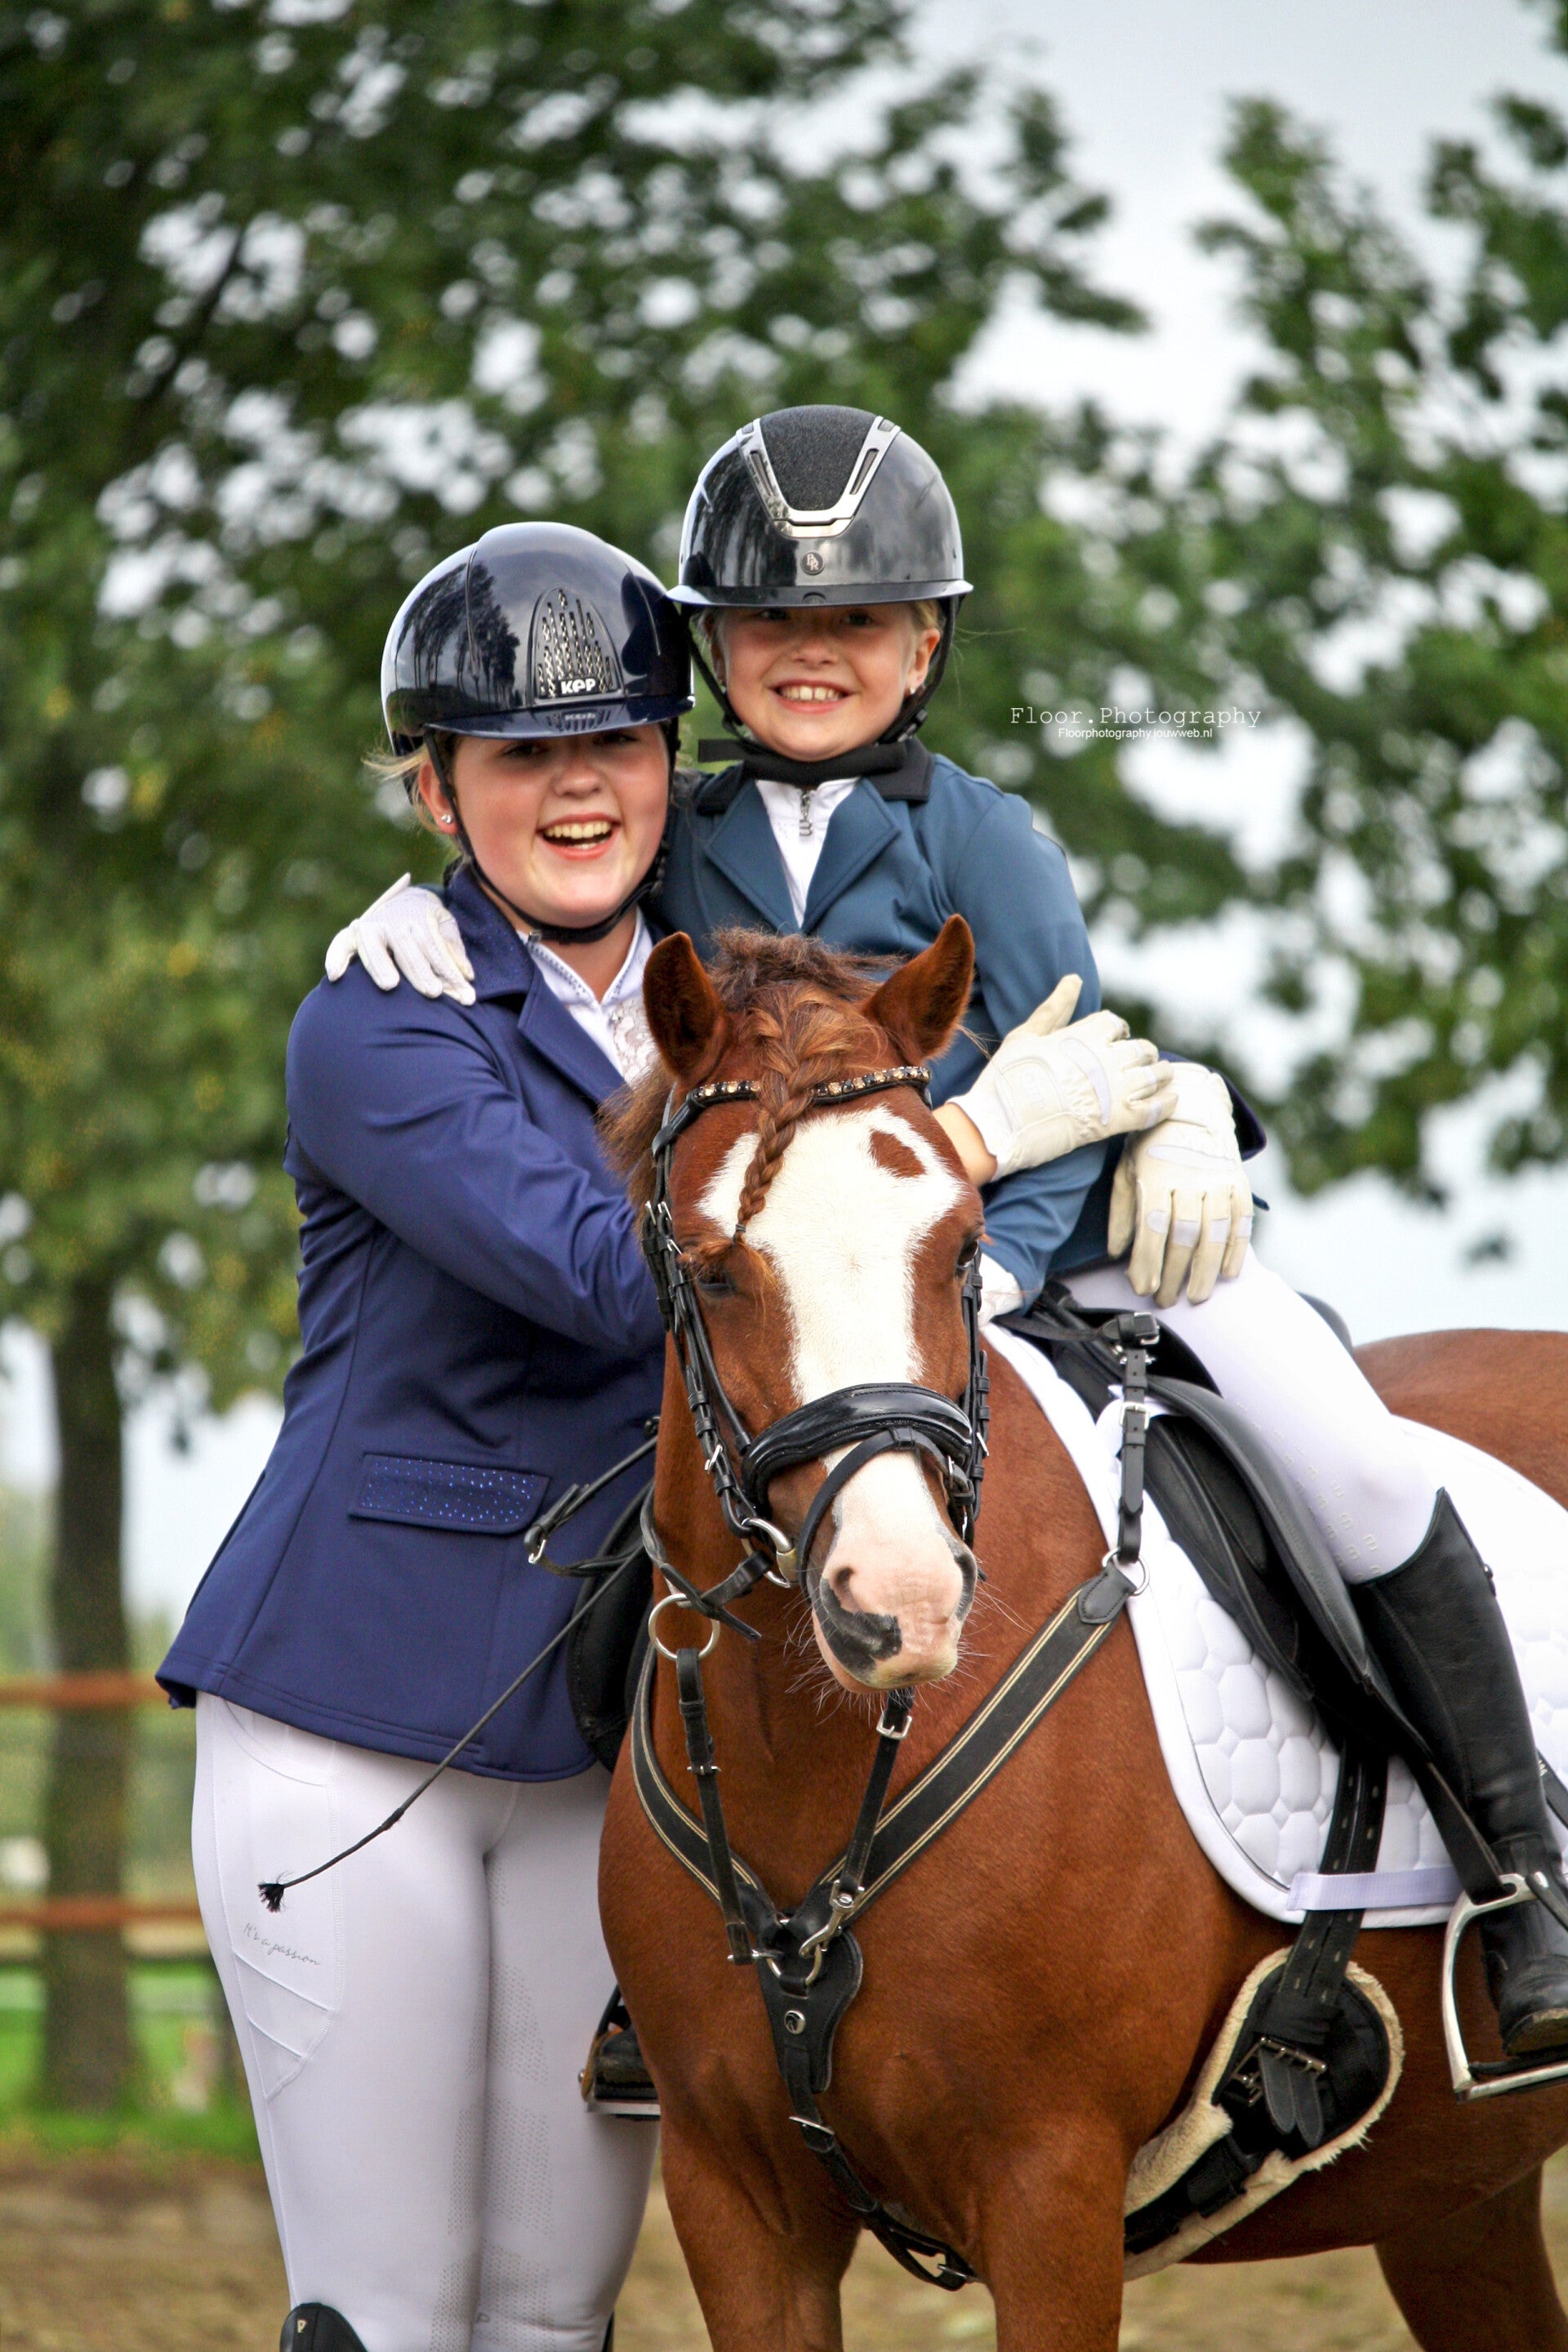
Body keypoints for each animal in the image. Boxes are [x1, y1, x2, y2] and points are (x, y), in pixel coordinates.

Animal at [597, 915, 1568, 2352]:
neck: (806, 1766)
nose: (903, 1603)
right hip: (1459, 2200)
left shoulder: (1047, 2186)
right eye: (715, 1274)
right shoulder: (734, 2203)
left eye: (959, 1245)